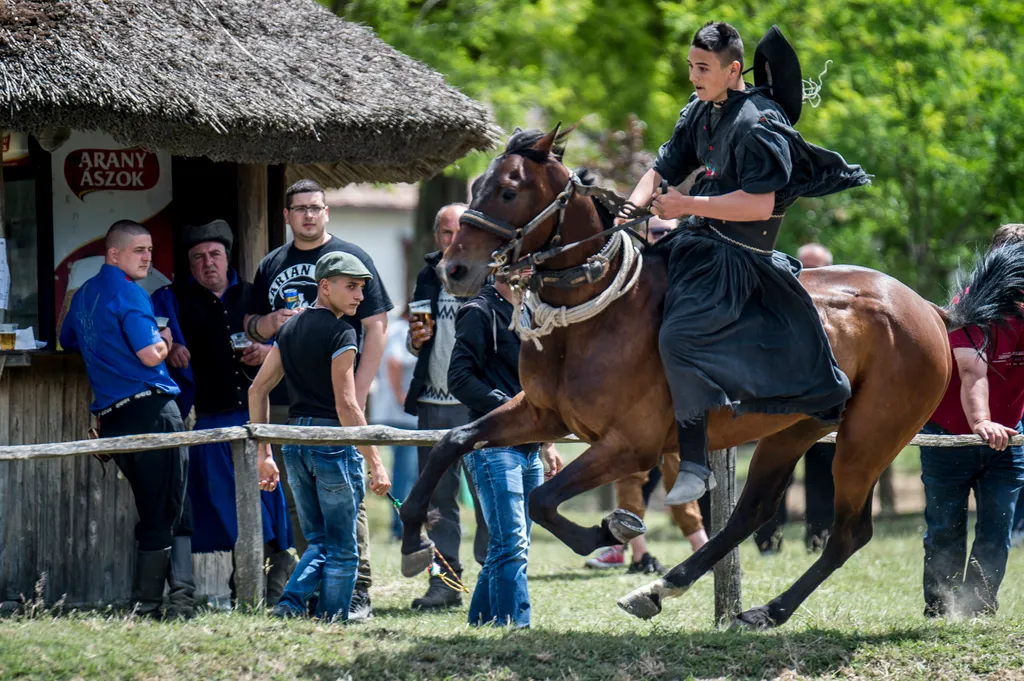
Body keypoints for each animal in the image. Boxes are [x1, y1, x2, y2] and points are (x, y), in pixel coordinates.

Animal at [397, 125, 1024, 626]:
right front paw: (411, 540)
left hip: (865, 442)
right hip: (790, 431)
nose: (455, 269)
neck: (594, 316)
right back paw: (667, 590)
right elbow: (452, 441)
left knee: (847, 533)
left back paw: (763, 610)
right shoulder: (542, 413)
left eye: (508, 190)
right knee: (752, 512)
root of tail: (932, 311)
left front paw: (608, 531)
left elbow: (543, 499)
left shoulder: (630, 445)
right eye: (474, 187)